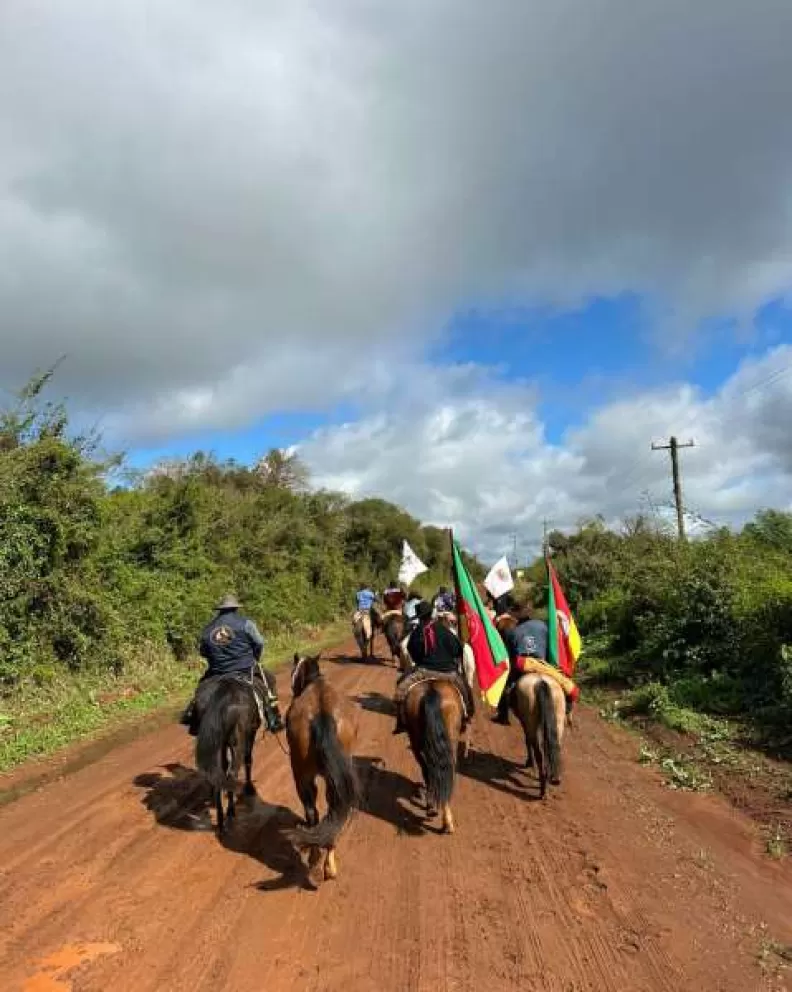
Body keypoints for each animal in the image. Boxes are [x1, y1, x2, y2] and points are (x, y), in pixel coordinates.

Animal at [194, 676, 261, 833]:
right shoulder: (251, 732)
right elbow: (248, 759)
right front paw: (250, 788)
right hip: (238, 740)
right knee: (232, 773)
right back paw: (230, 811)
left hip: (218, 743)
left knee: (219, 775)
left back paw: (220, 820)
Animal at [283, 654, 359, 884]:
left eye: (295, 671)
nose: (293, 687)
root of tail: (322, 714)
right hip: (333, 778)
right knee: (333, 809)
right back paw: (328, 863)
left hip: (301, 775)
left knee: (313, 812)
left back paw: (316, 855)